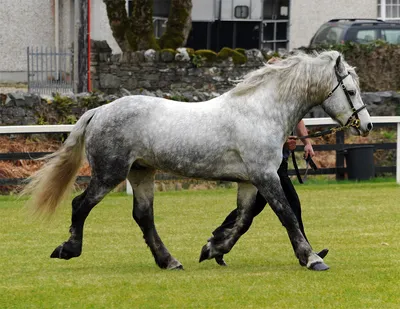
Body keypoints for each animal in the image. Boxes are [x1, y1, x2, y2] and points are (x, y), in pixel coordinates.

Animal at [24, 50, 372, 270]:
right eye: (351, 90)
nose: (366, 125)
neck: (260, 111)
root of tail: (99, 111)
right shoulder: (265, 176)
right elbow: (286, 214)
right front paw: (313, 258)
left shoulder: (250, 181)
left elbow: (243, 220)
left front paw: (213, 249)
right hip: (110, 174)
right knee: (80, 205)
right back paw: (68, 249)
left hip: (141, 172)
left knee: (143, 217)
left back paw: (169, 261)